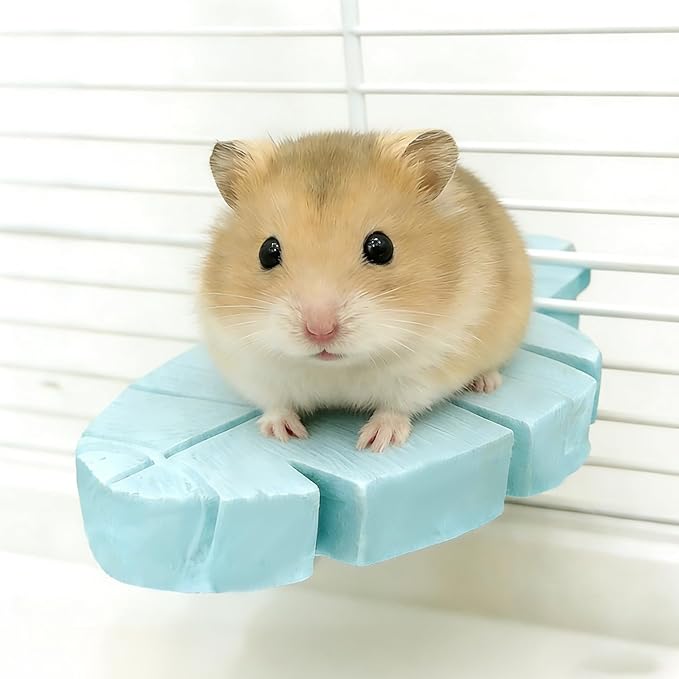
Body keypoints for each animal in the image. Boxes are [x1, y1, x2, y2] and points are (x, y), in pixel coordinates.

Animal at [198, 129, 532, 452]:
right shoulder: (250, 367)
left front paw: (374, 442)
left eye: (381, 247)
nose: (320, 331)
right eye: (267, 252)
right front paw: (284, 434)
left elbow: (397, 407)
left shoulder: (428, 366)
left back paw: (485, 384)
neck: (336, 368)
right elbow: (277, 405)